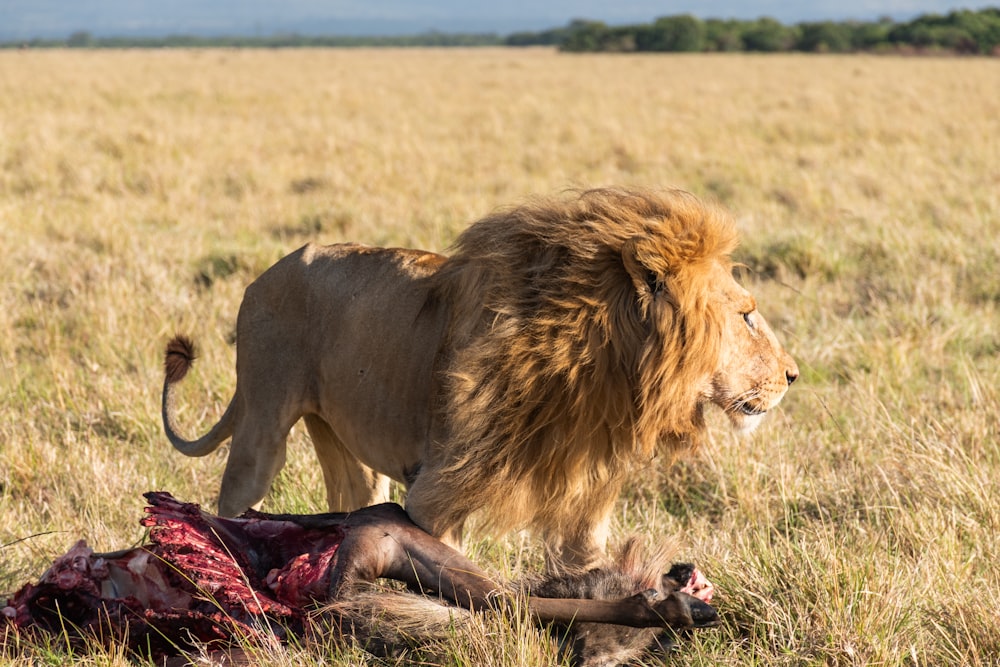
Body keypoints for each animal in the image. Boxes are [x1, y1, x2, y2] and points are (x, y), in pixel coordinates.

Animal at [162, 187, 796, 568]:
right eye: (746, 315)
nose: (793, 375)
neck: (607, 371)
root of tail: (264, 274)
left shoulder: (586, 497)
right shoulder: (441, 492)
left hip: (349, 451)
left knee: (350, 494)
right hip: (262, 429)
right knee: (232, 498)